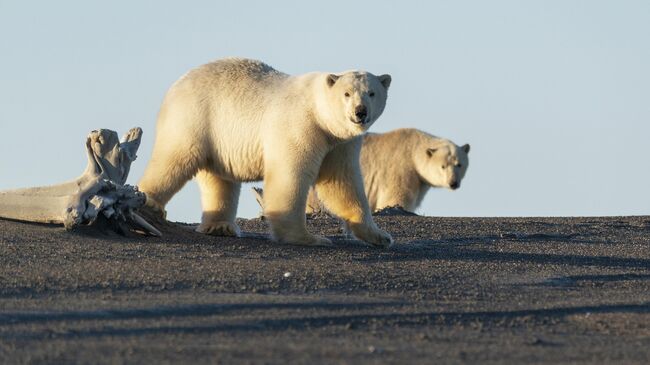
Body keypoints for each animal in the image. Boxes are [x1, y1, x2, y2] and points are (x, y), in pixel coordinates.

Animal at [139, 58, 392, 246]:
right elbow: (290, 175)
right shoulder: (300, 126)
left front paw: (380, 236)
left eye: (371, 93)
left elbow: (341, 182)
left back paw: (220, 226)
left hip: (217, 137)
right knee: (174, 159)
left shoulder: (338, 142)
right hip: (194, 118)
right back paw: (150, 202)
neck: (318, 112)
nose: (360, 112)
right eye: (347, 94)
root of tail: (177, 84)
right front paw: (308, 238)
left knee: (220, 180)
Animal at [306, 128, 468, 213]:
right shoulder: (401, 169)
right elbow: (396, 198)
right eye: (443, 166)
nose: (453, 183)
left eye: (459, 164)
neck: (412, 149)